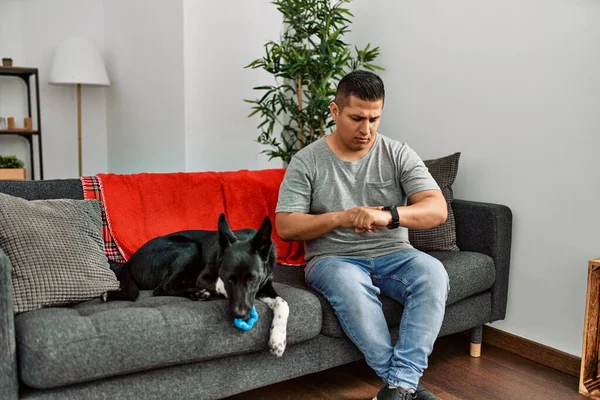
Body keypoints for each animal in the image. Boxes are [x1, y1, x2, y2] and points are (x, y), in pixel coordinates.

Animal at [106, 214, 290, 358]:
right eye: (228, 278)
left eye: (253, 279)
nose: (241, 314)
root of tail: (128, 263)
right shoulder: (203, 277)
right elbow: (220, 285)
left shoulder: (264, 284)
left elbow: (283, 303)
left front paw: (278, 340)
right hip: (189, 248)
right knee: (161, 288)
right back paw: (198, 293)